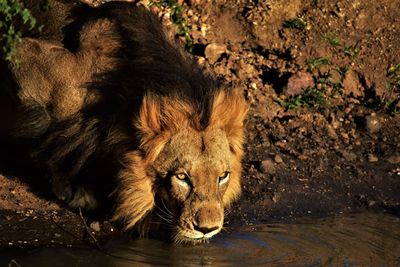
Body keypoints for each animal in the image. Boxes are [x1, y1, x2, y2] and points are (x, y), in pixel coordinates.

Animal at [0, 0, 247, 245]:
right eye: (181, 177)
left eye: (223, 176)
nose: (208, 229)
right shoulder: (23, 54)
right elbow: (49, 135)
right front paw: (73, 189)